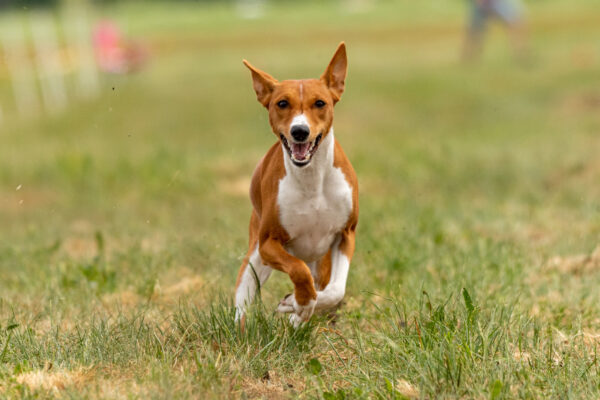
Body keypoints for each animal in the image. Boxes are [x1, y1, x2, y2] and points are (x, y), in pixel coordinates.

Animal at [233, 42, 356, 326]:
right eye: (282, 103)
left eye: (320, 103)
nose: (299, 131)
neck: (312, 180)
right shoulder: (269, 243)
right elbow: (299, 273)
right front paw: (299, 302)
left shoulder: (346, 234)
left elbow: (335, 290)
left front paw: (296, 306)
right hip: (255, 258)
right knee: (242, 303)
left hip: (320, 259)